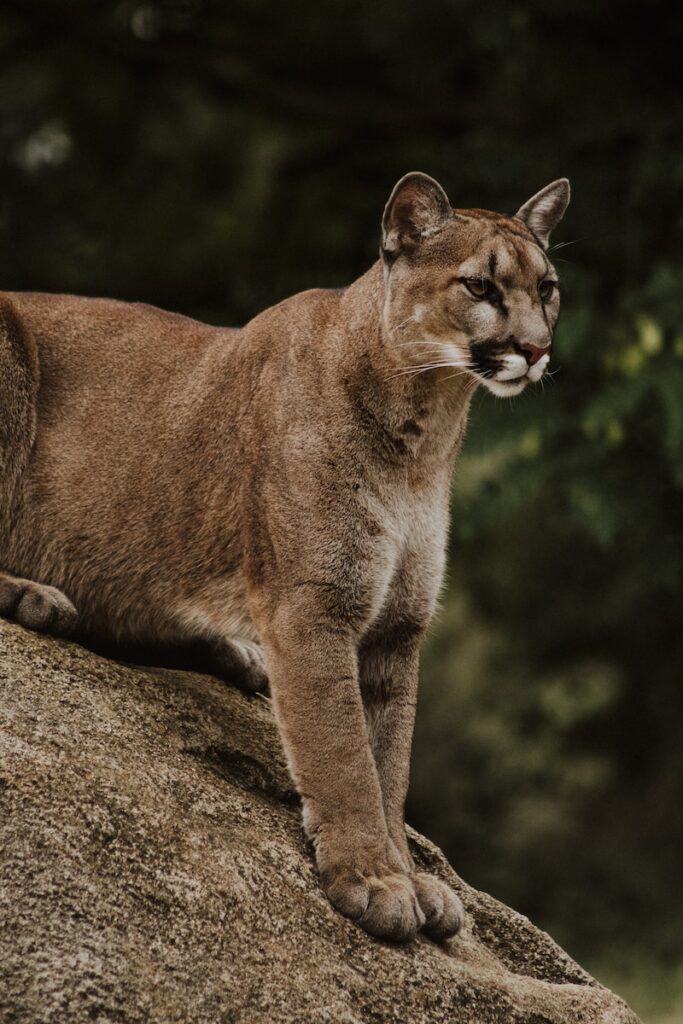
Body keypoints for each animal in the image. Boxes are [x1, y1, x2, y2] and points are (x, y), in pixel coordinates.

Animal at [0, 172, 573, 937]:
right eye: (479, 286)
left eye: (547, 288)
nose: (534, 350)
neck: (425, 429)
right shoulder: (314, 608)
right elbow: (344, 758)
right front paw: (375, 880)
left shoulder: (395, 629)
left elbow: (388, 766)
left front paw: (408, 876)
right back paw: (34, 595)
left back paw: (229, 652)